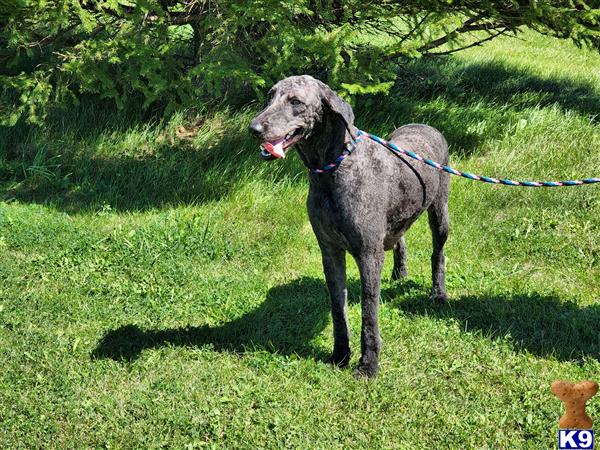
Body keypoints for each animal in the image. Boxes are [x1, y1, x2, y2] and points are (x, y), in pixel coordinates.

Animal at [248, 75, 450, 378]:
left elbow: (368, 312)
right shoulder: (330, 251)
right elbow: (337, 307)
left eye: (296, 101)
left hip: (440, 214)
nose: (254, 128)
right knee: (399, 238)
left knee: (438, 253)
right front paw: (340, 354)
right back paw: (400, 272)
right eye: (270, 97)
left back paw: (439, 292)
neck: (332, 170)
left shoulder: (368, 255)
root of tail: (426, 125)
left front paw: (368, 365)